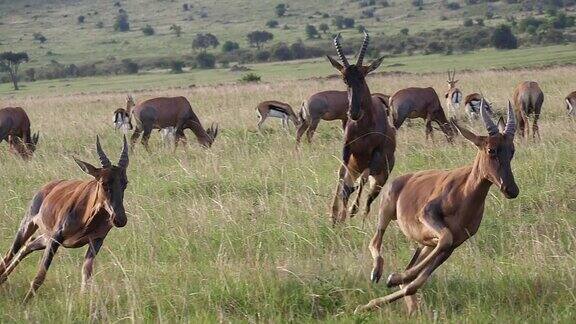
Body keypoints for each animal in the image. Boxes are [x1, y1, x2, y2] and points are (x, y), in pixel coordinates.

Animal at [0, 136, 130, 302]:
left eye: (125, 182)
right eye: (103, 182)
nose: (120, 219)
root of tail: (47, 187)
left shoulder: (96, 241)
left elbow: (86, 273)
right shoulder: (56, 237)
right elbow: (40, 275)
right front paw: (25, 303)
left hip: (45, 238)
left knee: (28, 245)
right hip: (29, 226)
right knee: (11, 251)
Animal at [328, 33, 396, 225]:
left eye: (362, 76)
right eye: (345, 79)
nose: (354, 112)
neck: (364, 125)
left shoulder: (375, 153)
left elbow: (363, 180)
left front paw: (351, 211)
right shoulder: (347, 149)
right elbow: (340, 175)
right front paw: (335, 215)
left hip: (380, 178)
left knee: (368, 201)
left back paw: (360, 218)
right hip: (354, 169)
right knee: (348, 185)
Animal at [354, 102, 520, 316]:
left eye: (512, 150)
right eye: (491, 149)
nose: (511, 190)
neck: (464, 190)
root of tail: (404, 178)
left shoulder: (453, 245)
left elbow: (416, 282)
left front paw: (396, 279)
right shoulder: (428, 216)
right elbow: (442, 241)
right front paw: (391, 279)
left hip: (426, 244)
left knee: (411, 272)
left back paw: (409, 304)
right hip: (387, 212)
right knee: (375, 241)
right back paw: (377, 273)